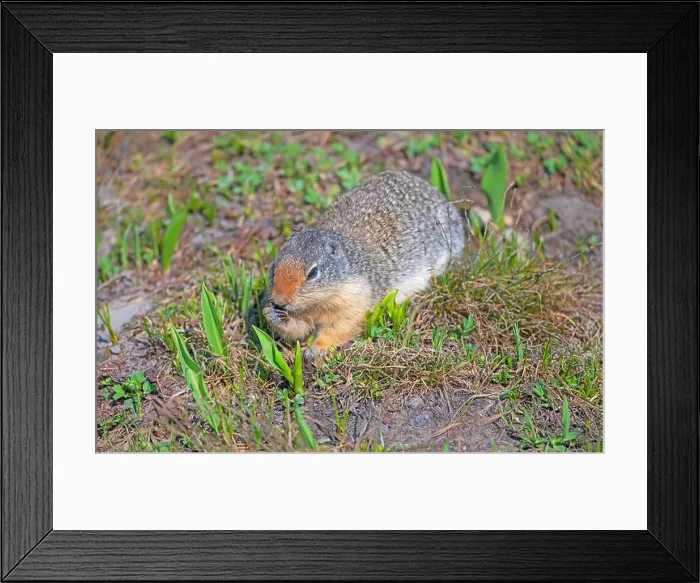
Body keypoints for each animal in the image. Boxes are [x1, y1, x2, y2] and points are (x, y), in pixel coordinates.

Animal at [263, 170, 465, 363]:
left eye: (313, 272)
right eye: (275, 263)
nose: (279, 300)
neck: (319, 302)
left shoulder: (354, 302)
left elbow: (341, 329)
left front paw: (316, 349)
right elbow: (299, 329)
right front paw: (271, 314)